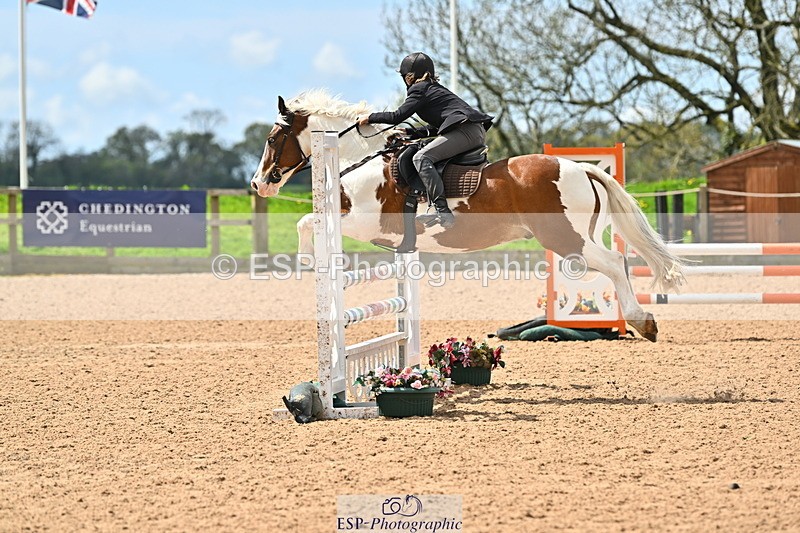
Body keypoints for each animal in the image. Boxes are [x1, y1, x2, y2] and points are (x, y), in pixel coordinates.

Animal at [250, 90, 685, 341]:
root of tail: (582, 168)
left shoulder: (366, 223)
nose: (258, 184)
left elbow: (307, 221)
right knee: (615, 263)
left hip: (566, 240)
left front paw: (309, 260)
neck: (364, 159)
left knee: (613, 263)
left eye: (272, 138)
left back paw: (642, 321)